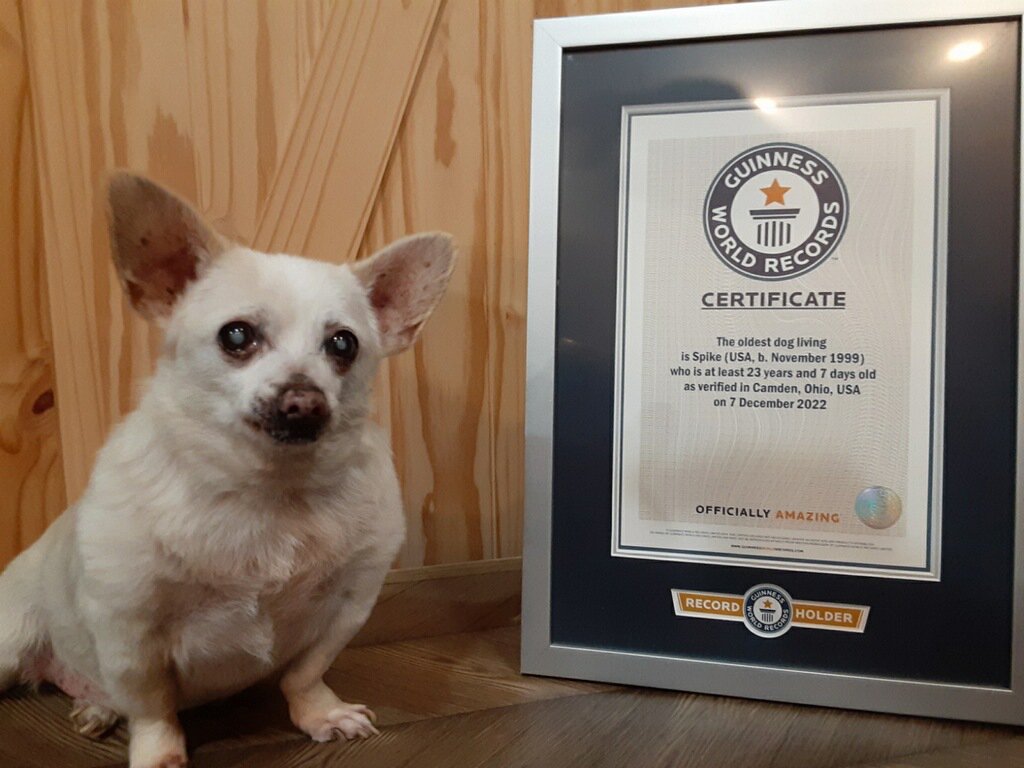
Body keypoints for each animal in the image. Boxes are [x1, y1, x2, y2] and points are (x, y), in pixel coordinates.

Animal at [0, 174, 456, 768]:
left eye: (344, 344)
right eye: (236, 337)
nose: (304, 399)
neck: (269, 493)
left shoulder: (347, 607)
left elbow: (305, 675)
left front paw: (321, 715)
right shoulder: (130, 634)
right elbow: (152, 709)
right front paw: (159, 755)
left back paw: (96, 708)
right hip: (10, 639)